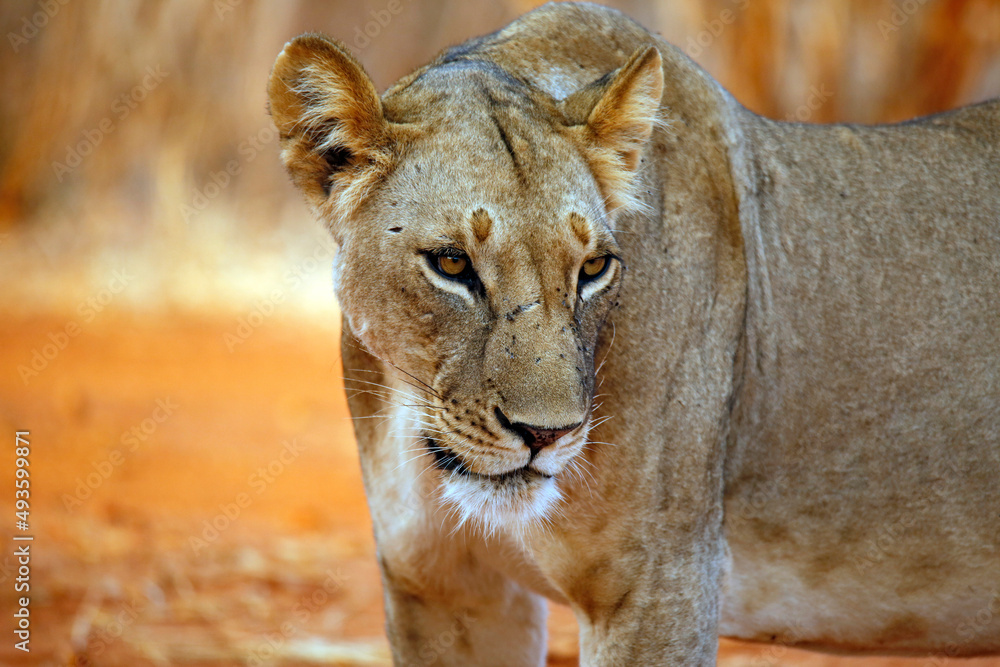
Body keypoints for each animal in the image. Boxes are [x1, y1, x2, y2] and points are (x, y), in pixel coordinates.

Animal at [267, 2, 1000, 664]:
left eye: (592, 268)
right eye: (451, 264)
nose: (547, 435)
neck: (417, 425)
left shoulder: (659, 584)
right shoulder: (445, 591)